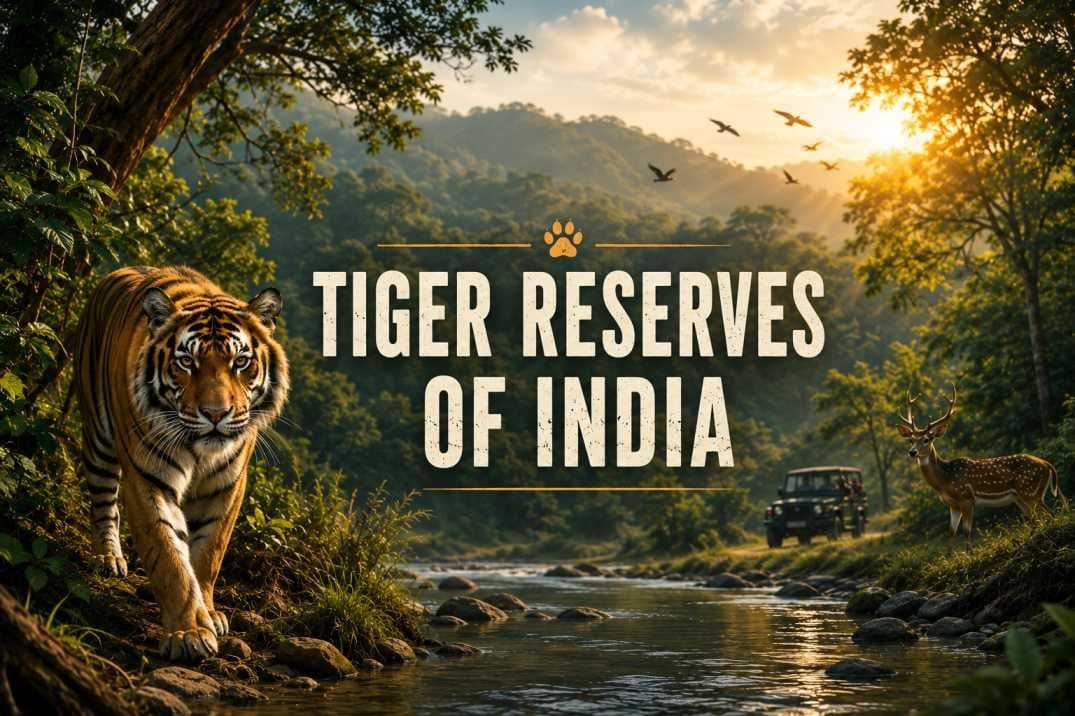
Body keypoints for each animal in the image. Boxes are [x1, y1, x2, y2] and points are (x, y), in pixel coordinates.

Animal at [74, 266, 289, 661]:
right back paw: (109, 558)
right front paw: (188, 633)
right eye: (187, 362)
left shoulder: (228, 484)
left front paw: (210, 613)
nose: (216, 414)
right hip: (98, 437)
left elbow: (207, 554)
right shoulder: (147, 478)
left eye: (240, 362)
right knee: (104, 502)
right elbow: (169, 556)